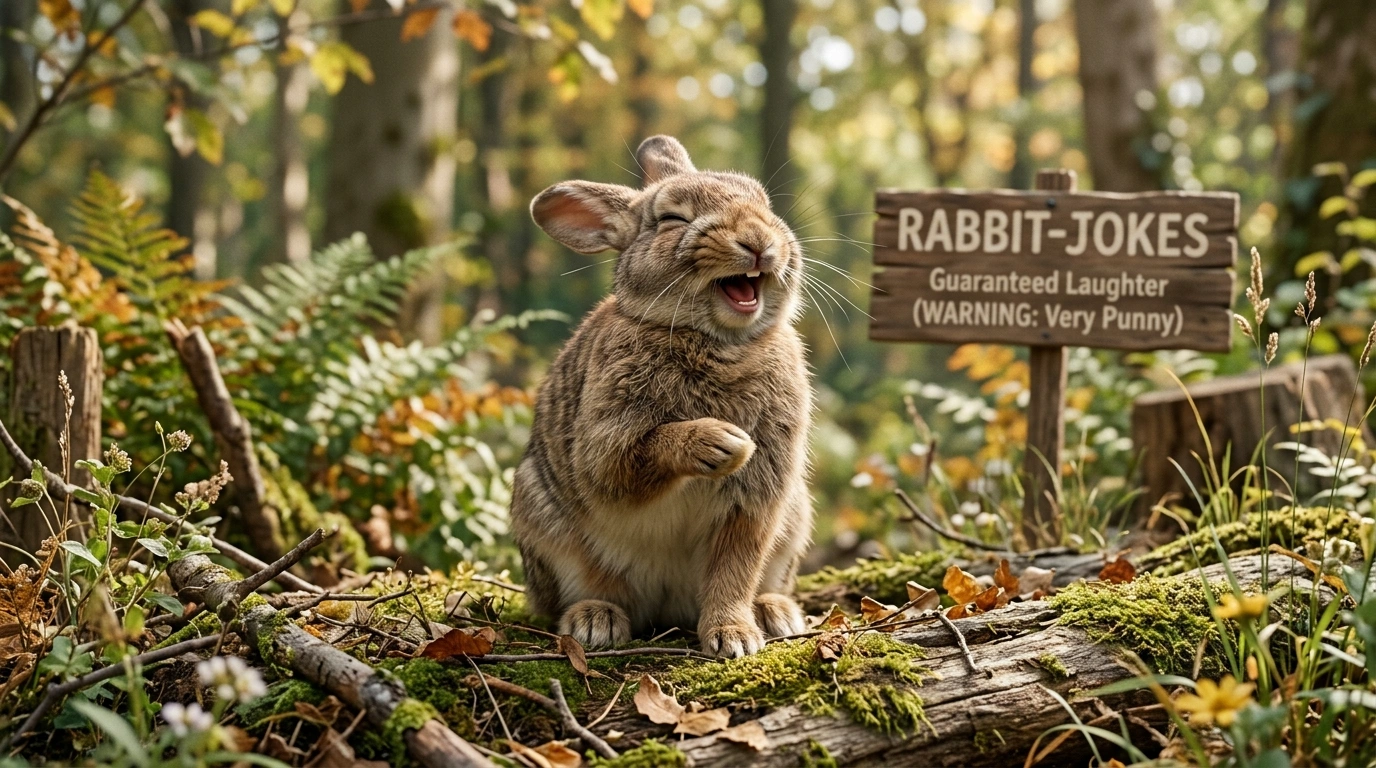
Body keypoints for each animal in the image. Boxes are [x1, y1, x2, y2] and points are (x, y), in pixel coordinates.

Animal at [510, 135, 813, 658]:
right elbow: (623, 465)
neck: (716, 341)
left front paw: (733, 637)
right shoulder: (606, 441)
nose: (757, 240)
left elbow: (736, 566)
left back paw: (775, 613)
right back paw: (596, 620)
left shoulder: (755, 499)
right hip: (541, 518)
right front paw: (721, 442)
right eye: (672, 219)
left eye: (765, 205)